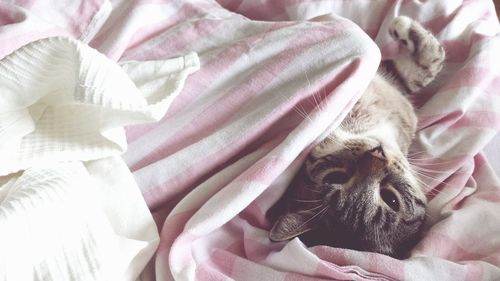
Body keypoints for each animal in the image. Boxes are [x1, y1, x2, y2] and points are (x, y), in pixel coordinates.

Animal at [268, 15, 444, 258]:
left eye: (391, 198)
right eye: (336, 177)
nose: (377, 154)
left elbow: (423, 69)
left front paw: (403, 28)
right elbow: (425, 66)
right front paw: (401, 26)